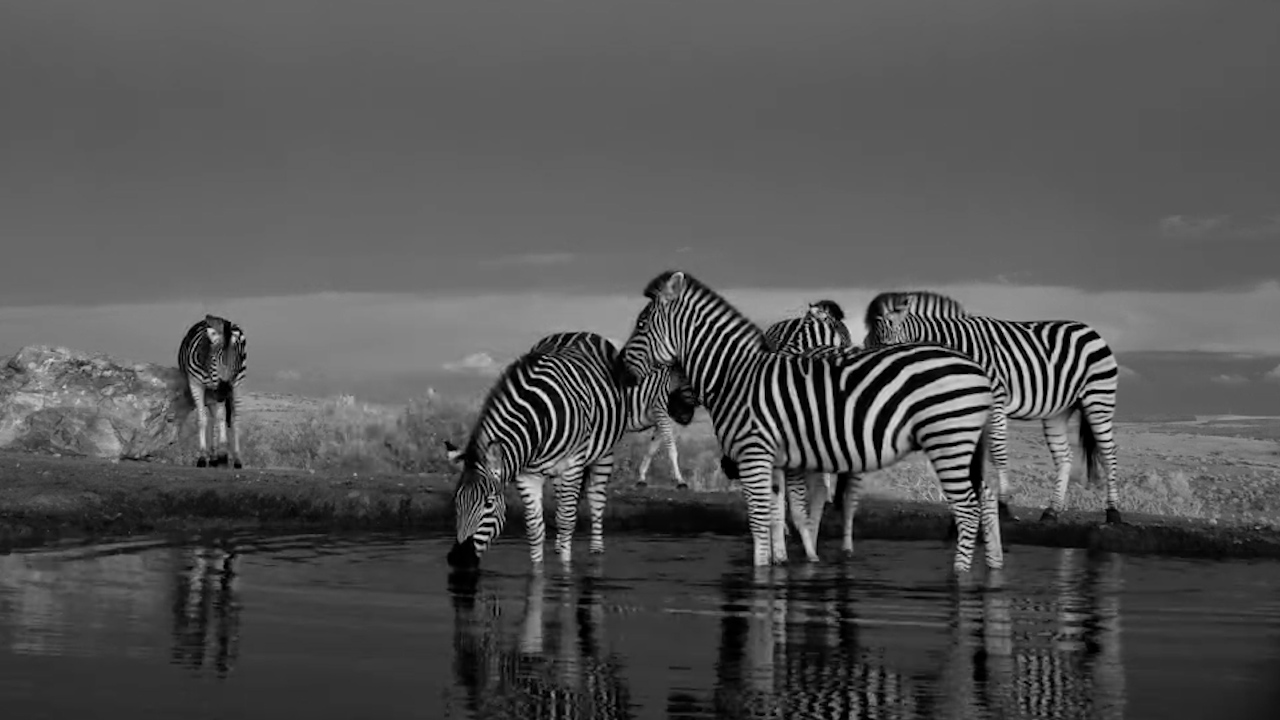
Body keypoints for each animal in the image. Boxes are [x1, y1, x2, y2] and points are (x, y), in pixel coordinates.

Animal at [177, 314, 248, 469]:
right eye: (214, 359)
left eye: (237, 359)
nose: (225, 392)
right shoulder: (196, 384)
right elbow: (202, 420)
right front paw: (203, 456)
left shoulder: (224, 388)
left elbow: (222, 418)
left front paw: (222, 454)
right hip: (211, 393)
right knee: (216, 417)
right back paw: (215, 457)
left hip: (237, 385)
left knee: (235, 419)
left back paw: (236, 458)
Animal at [530, 332, 697, 489]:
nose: (685, 417)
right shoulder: (659, 407)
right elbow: (671, 447)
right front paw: (681, 481)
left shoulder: (661, 417)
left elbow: (652, 449)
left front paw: (641, 478)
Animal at [614, 270, 1004, 573]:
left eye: (641, 324)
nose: (618, 371)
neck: (736, 375)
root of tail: (979, 368)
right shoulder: (774, 460)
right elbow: (775, 517)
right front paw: (778, 567)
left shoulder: (755, 454)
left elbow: (760, 519)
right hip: (967, 443)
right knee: (985, 498)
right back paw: (994, 567)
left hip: (948, 438)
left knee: (967, 510)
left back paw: (960, 578)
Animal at [863, 290, 1123, 524]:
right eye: (868, 345)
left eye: (886, 344)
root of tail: (1089, 329)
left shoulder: (996, 401)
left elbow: (997, 453)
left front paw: (1004, 507)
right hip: (1057, 411)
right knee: (1064, 456)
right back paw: (1051, 512)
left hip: (1099, 397)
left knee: (1108, 452)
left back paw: (1113, 513)